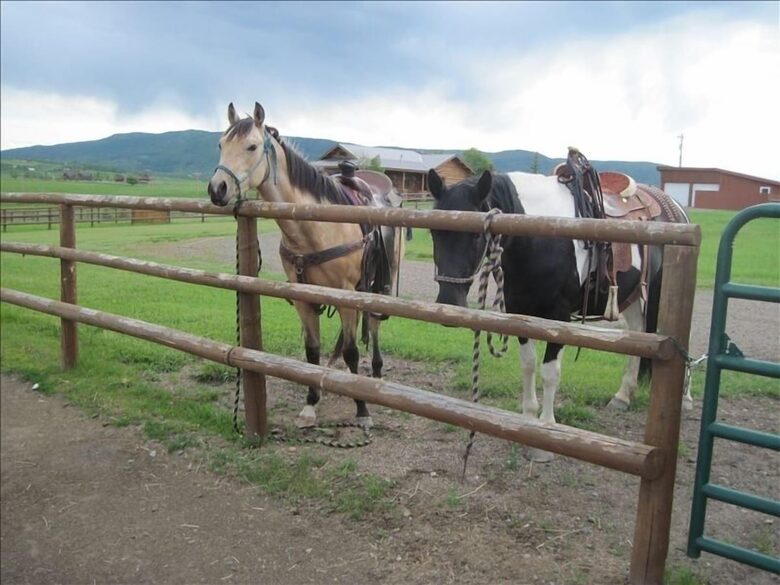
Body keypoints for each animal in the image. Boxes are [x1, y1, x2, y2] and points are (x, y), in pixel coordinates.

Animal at [208, 102, 403, 429]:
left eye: (252, 146)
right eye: (221, 145)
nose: (217, 189)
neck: (316, 227)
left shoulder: (346, 294)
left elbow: (352, 352)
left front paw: (362, 409)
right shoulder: (303, 296)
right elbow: (312, 350)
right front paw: (311, 403)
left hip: (379, 283)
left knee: (374, 325)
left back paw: (375, 374)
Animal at [427, 164, 691, 457]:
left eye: (475, 235)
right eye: (433, 232)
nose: (449, 302)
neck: (540, 237)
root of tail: (675, 209)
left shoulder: (560, 316)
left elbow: (550, 372)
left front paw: (545, 433)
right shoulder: (520, 311)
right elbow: (528, 365)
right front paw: (527, 421)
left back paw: (686, 398)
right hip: (631, 296)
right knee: (638, 332)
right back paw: (623, 396)